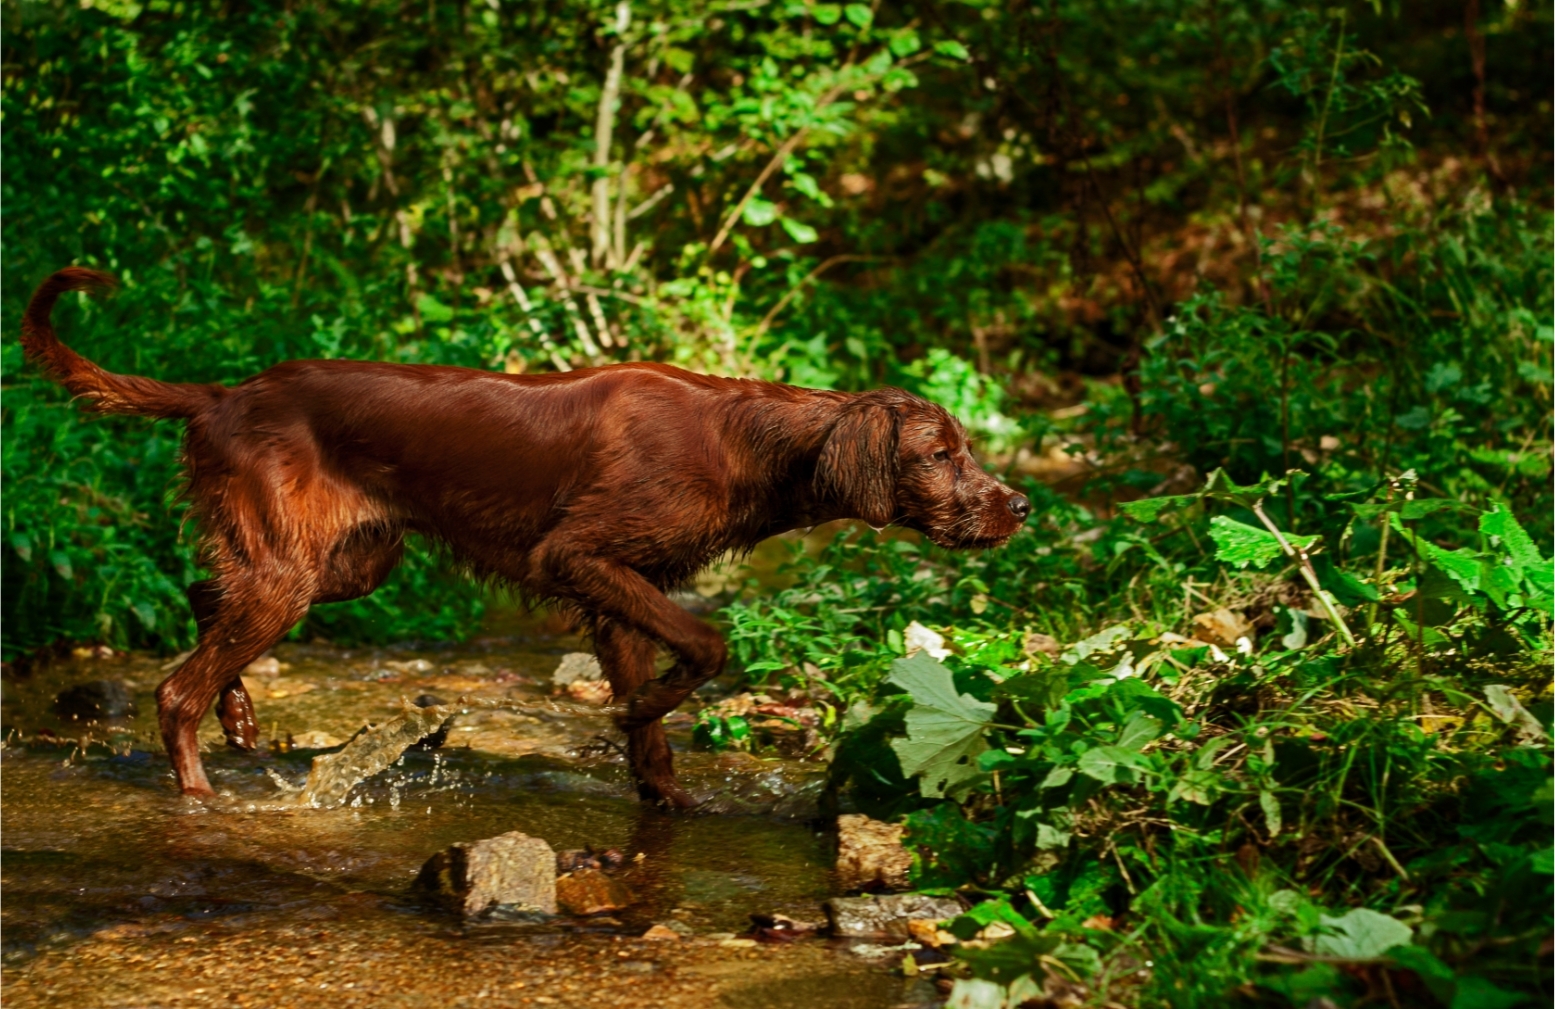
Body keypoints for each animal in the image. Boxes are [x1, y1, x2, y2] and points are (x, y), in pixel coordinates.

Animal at [21, 265, 1032, 802]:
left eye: (965, 449)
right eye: (939, 453)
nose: (1019, 506)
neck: (753, 442)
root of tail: (224, 392)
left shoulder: (616, 587)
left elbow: (657, 711)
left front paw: (660, 788)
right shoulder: (580, 556)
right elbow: (708, 643)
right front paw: (639, 711)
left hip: (341, 563)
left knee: (204, 598)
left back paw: (240, 717)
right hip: (293, 575)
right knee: (173, 685)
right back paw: (198, 789)